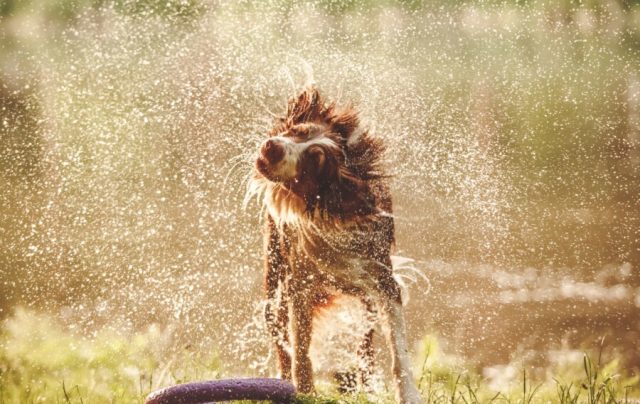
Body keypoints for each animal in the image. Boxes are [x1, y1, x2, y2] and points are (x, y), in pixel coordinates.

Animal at [248, 87, 422, 402]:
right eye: (297, 131)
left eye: (314, 160)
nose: (272, 146)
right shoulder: (299, 283)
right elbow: (301, 349)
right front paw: (304, 391)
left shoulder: (383, 279)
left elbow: (398, 349)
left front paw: (409, 394)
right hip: (274, 277)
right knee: (280, 335)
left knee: (365, 343)